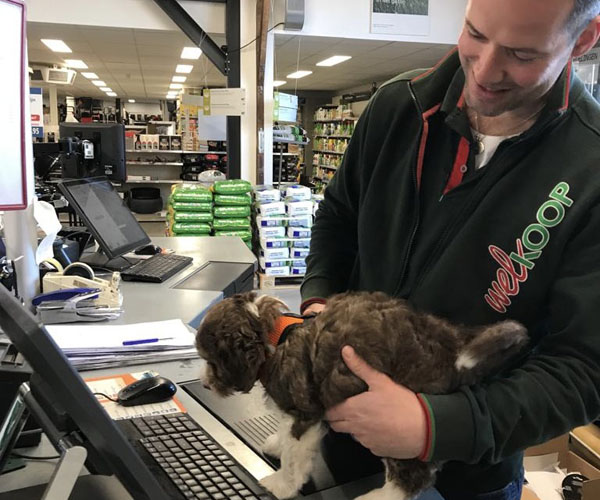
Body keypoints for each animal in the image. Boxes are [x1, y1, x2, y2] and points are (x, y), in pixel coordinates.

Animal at [195, 291, 528, 500]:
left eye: (211, 361)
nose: (206, 384)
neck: (272, 333)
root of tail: (457, 349)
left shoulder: (306, 411)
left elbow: (294, 457)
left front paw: (281, 485)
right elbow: (285, 434)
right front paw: (277, 443)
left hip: (401, 428)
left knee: (413, 478)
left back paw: (377, 497)